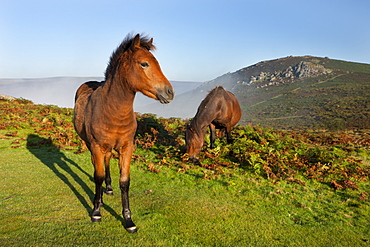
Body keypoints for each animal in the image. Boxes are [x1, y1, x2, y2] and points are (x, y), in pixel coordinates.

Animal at [75, 33, 175, 233]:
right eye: (144, 63)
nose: (169, 92)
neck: (112, 110)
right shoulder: (97, 146)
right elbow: (97, 177)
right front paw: (96, 211)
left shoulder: (127, 147)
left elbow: (124, 181)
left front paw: (128, 219)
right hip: (91, 145)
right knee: (97, 166)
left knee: (106, 162)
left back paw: (108, 188)